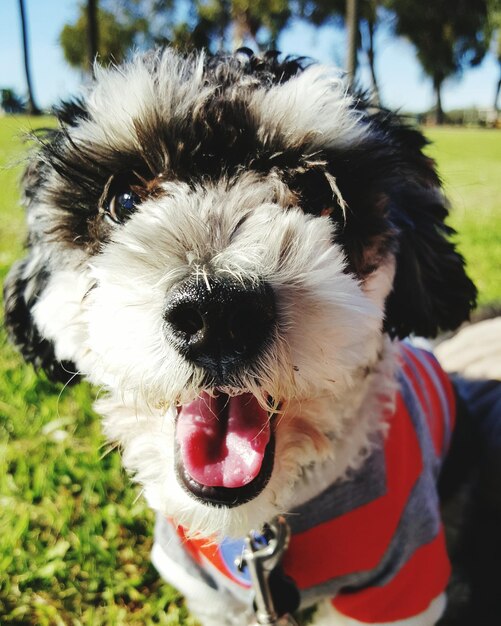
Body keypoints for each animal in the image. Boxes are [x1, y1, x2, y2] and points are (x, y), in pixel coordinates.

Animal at [4, 50, 492, 624]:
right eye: (123, 199)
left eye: (320, 194)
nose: (217, 311)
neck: (259, 530)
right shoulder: (207, 592)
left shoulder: (397, 583)